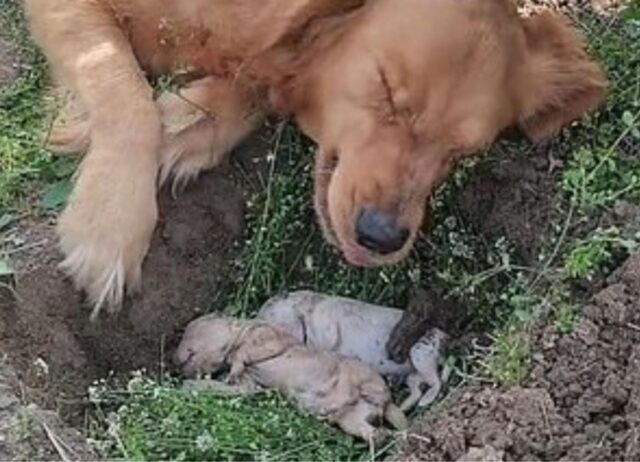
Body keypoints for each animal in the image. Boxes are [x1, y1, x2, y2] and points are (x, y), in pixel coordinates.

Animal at [23, 0, 604, 318]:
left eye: (463, 152)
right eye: (386, 90)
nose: (381, 237)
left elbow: (247, 89)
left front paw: (185, 123)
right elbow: (122, 88)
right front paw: (108, 225)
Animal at [172, 314, 408, 440]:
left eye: (191, 330)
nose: (174, 359)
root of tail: (387, 401)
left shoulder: (268, 335)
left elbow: (249, 350)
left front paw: (233, 369)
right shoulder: (250, 382)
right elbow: (239, 388)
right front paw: (192, 385)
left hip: (355, 372)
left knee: (348, 389)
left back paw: (327, 406)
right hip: (352, 418)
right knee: (366, 428)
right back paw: (377, 437)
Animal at [258, 290, 448, 410]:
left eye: (269, 316)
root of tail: (444, 336)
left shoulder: (326, 330)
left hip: (421, 353)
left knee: (437, 381)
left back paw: (424, 402)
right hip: (413, 373)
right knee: (418, 387)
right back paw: (404, 406)